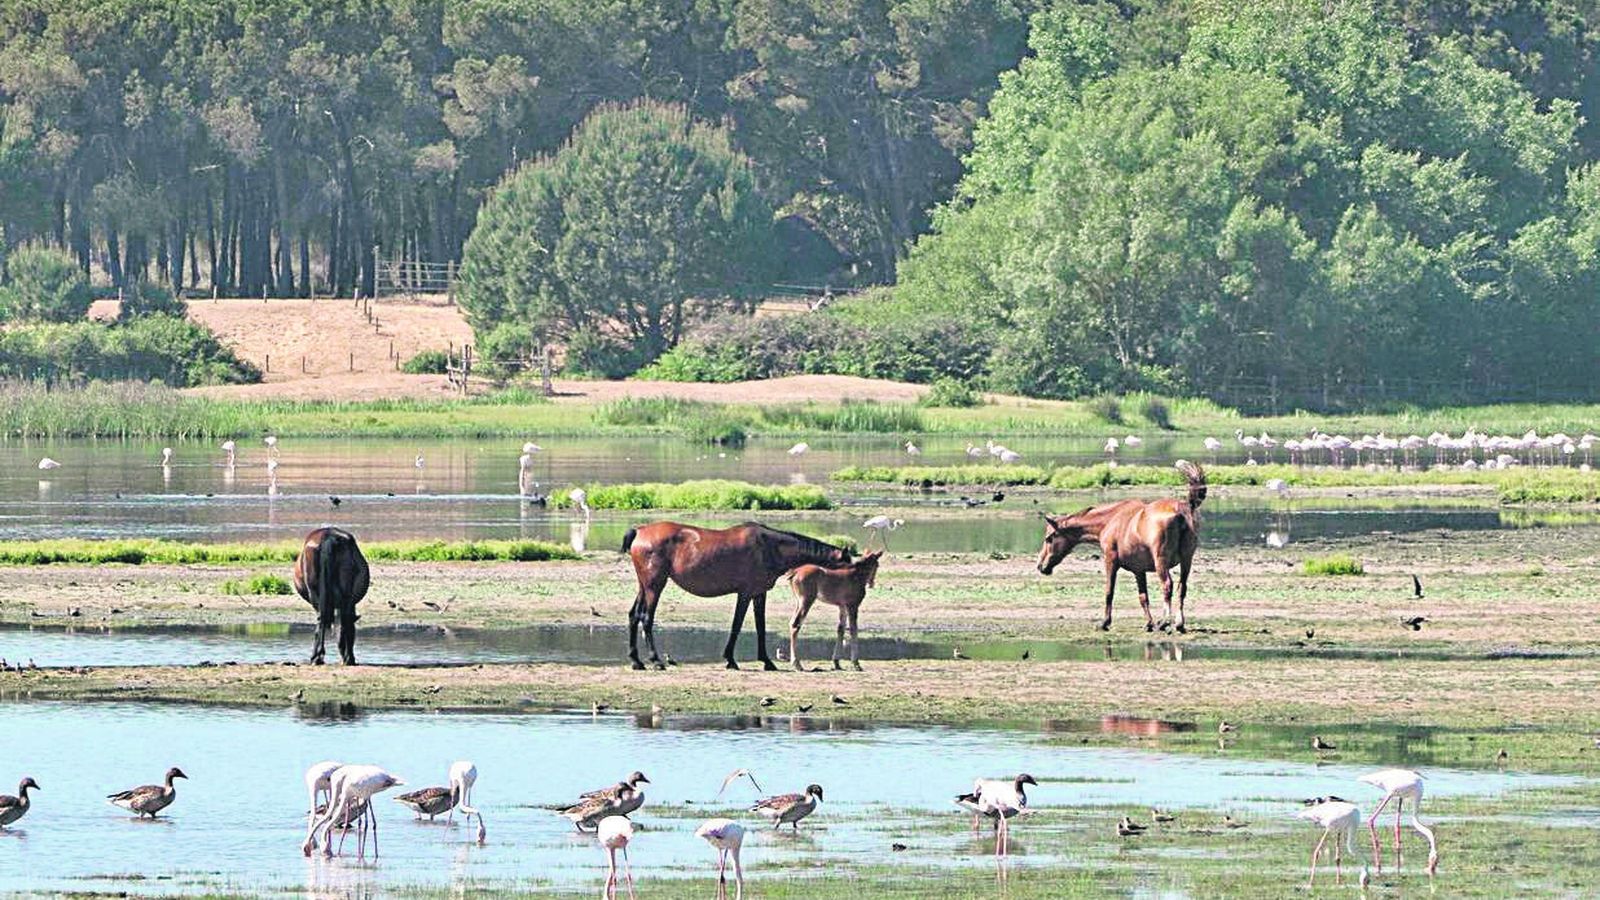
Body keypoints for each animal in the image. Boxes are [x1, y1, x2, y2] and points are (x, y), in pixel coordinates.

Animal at [293, 527, 371, 664]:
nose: (345, 658)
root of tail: (328, 538)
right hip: (344, 597)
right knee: (340, 620)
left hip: (316, 595)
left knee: (322, 619)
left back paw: (317, 657)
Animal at [620, 522, 853, 670]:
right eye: (848, 563)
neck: (769, 546)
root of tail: (640, 531)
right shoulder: (745, 593)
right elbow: (737, 625)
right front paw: (731, 660)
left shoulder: (759, 593)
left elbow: (761, 626)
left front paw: (767, 661)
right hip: (655, 585)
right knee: (646, 618)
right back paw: (656, 660)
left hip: (644, 585)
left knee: (634, 615)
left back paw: (636, 661)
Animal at [1036, 460, 1206, 633]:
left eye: (1049, 538)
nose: (1041, 566)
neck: (1109, 521)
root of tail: (1184, 509)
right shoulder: (1139, 570)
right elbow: (1143, 597)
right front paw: (1148, 623)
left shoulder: (1110, 561)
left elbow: (1109, 592)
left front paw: (1105, 622)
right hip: (1186, 560)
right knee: (1182, 588)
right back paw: (1179, 623)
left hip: (1161, 562)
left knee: (1167, 586)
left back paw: (1164, 622)